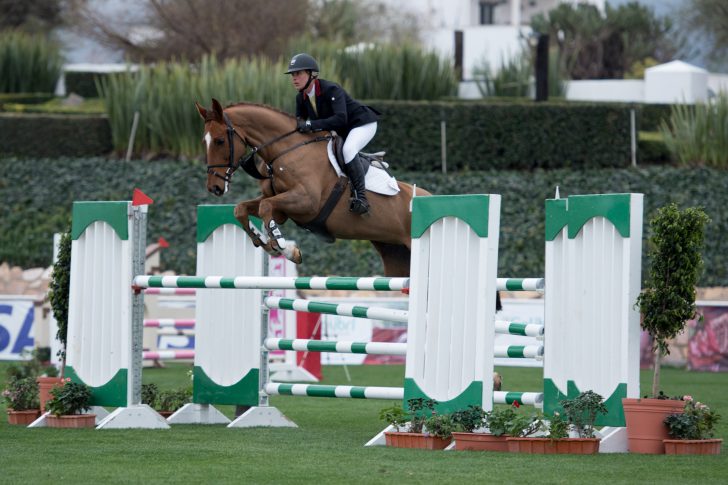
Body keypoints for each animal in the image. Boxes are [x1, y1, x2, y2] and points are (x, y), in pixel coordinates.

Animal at [195, 98, 431, 277]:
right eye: (204, 142)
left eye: (219, 141)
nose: (214, 187)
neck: (286, 150)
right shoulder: (281, 208)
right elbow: (243, 209)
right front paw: (263, 241)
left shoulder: (307, 202)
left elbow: (264, 208)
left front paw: (285, 248)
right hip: (396, 256)